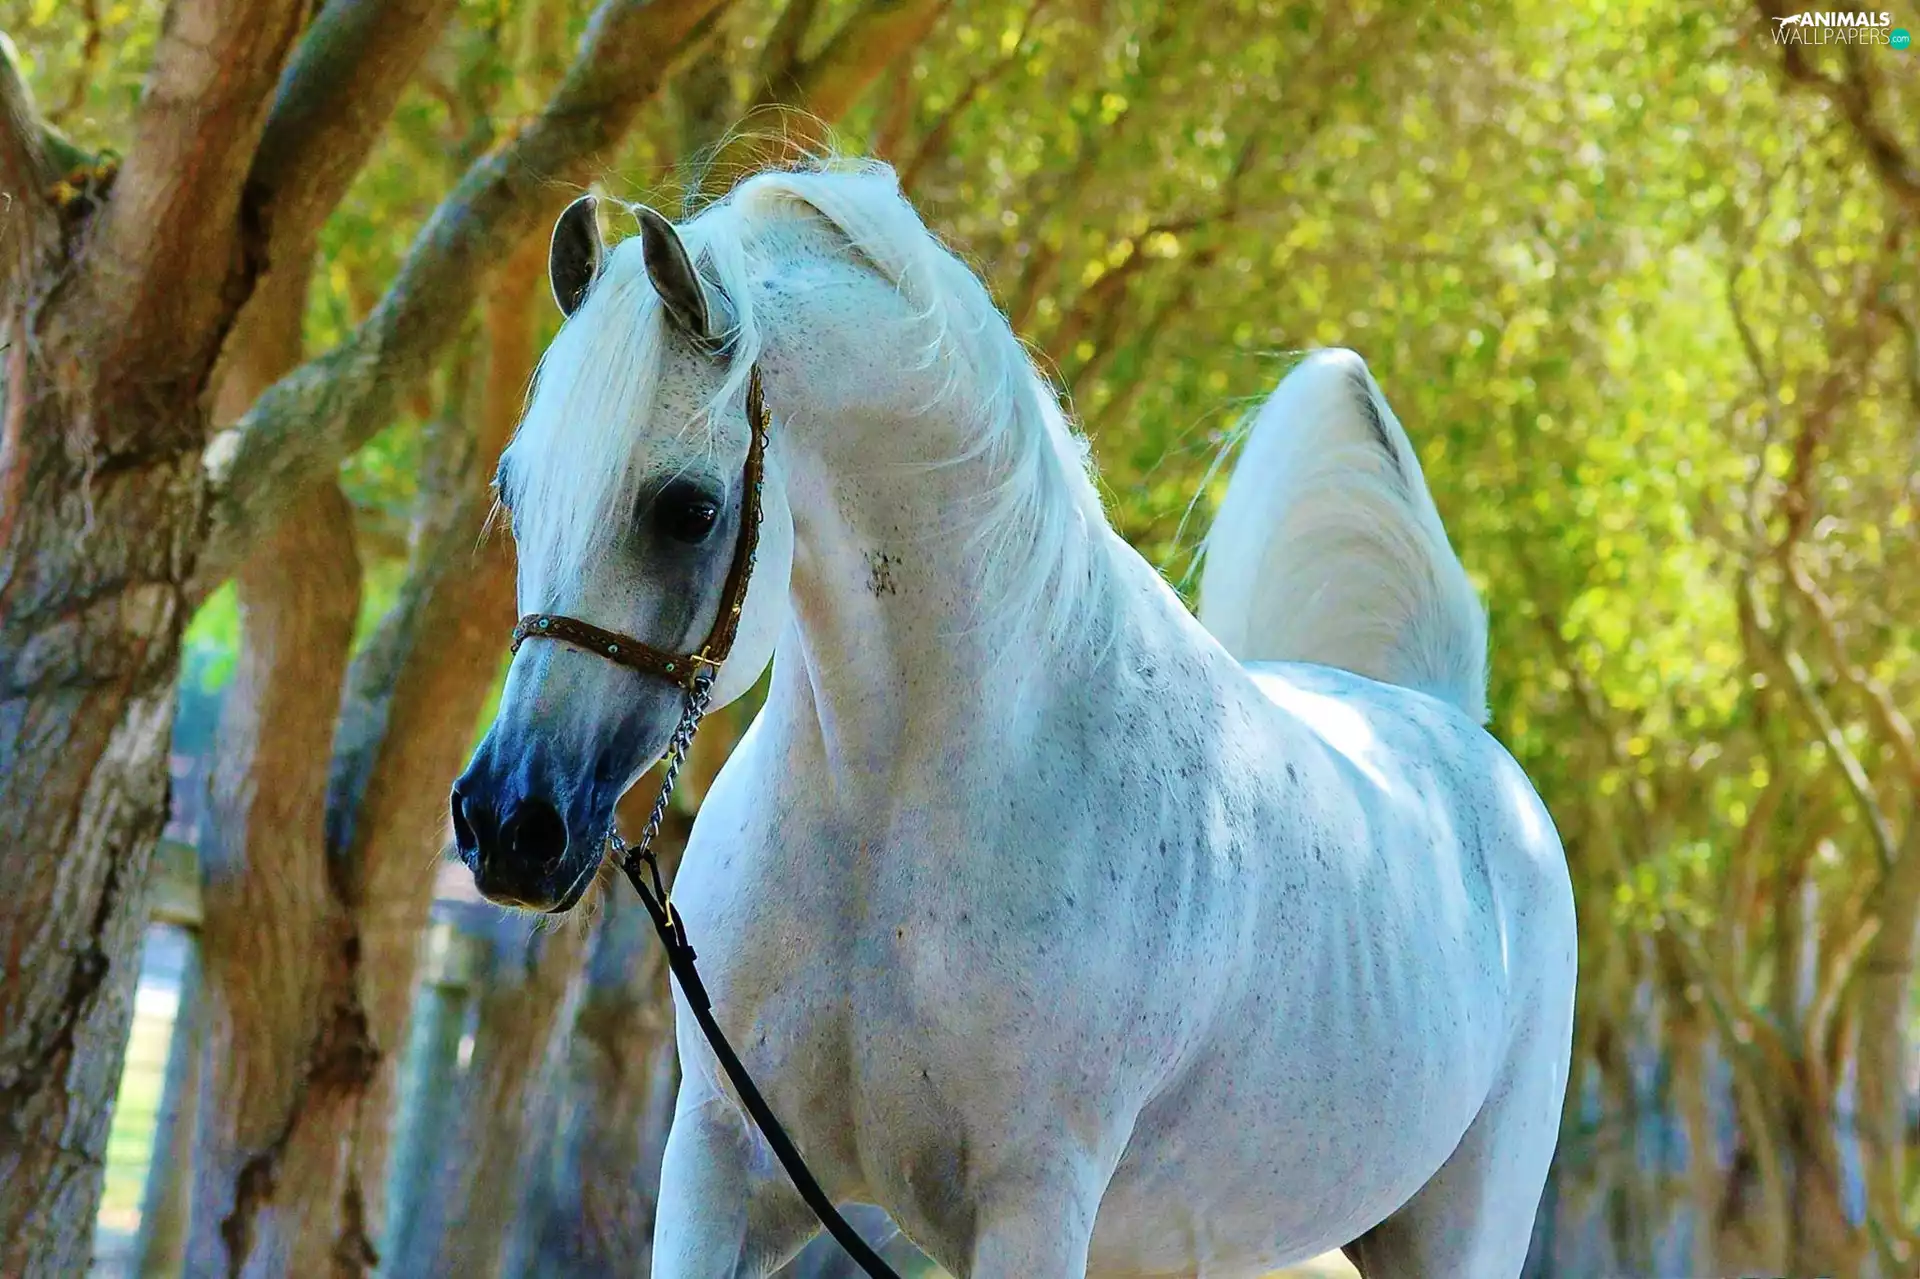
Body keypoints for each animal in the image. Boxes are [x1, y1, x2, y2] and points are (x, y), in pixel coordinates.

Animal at [452, 159, 1576, 1278]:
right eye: (516, 489)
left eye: (686, 508)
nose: (507, 823)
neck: (887, 819)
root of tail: (1449, 720)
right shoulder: (719, 1161)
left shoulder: (1034, 1207)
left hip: (1456, 1232)